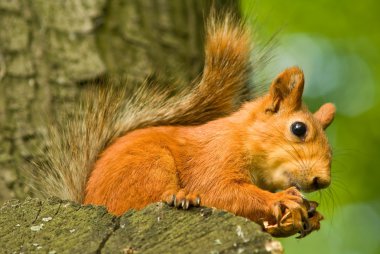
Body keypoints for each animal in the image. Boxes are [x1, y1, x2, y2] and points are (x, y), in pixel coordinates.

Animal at [32, 12, 336, 238]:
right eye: (299, 129)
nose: (322, 181)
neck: (242, 136)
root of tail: (89, 201)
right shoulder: (214, 156)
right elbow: (219, 192)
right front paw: (281, 199)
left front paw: (310, 214)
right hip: (148, 166)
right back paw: (181, 197)